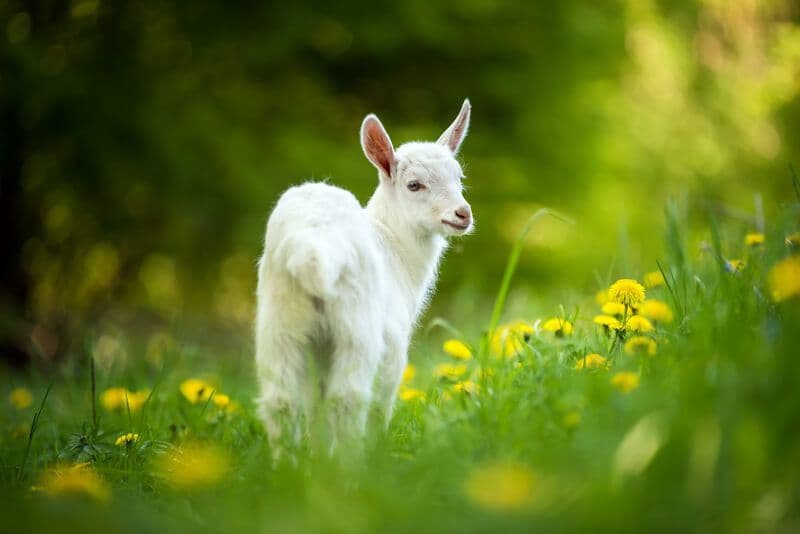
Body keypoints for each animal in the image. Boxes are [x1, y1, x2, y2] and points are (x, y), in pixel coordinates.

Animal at [255, 100, 473, 459]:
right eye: (414, 185)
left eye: (459, 177)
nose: (462, 214)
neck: (396, 248)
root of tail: (312, 249)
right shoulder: (394, 344)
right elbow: (378, 403)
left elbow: (315, 406)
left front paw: (318, 459)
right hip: (356, 325)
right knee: (349, 398)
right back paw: (351, 466)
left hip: (281, 320)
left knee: (282, 401)